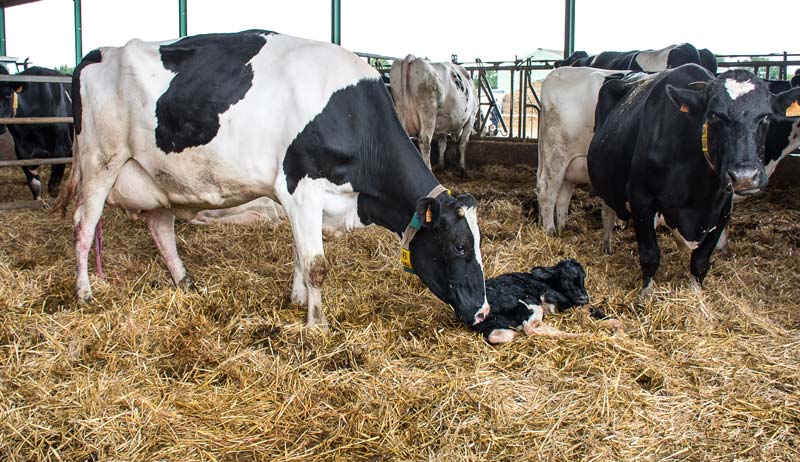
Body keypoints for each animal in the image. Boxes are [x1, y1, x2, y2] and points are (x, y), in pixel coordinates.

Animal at [54, 30, 494, 328]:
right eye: (458, 246)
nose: (483, 311)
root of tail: (100, 52)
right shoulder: (301, 187)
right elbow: (315, 263)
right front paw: (316, 324)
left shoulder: (305, 199)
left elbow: (300, 254)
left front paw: (298, 300)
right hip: (101, 161)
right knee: (83, 226)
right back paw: (85, 292)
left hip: (158, 178)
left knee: (160, 228)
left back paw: (186, 282)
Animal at [472, 260, 620, 342]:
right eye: (564, 278)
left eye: (584, 276)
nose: (583, 297)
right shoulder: (548, 296)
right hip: (527, 300)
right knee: (532, 327)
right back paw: (582, 336)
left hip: (493, 324)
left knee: (498, 335)